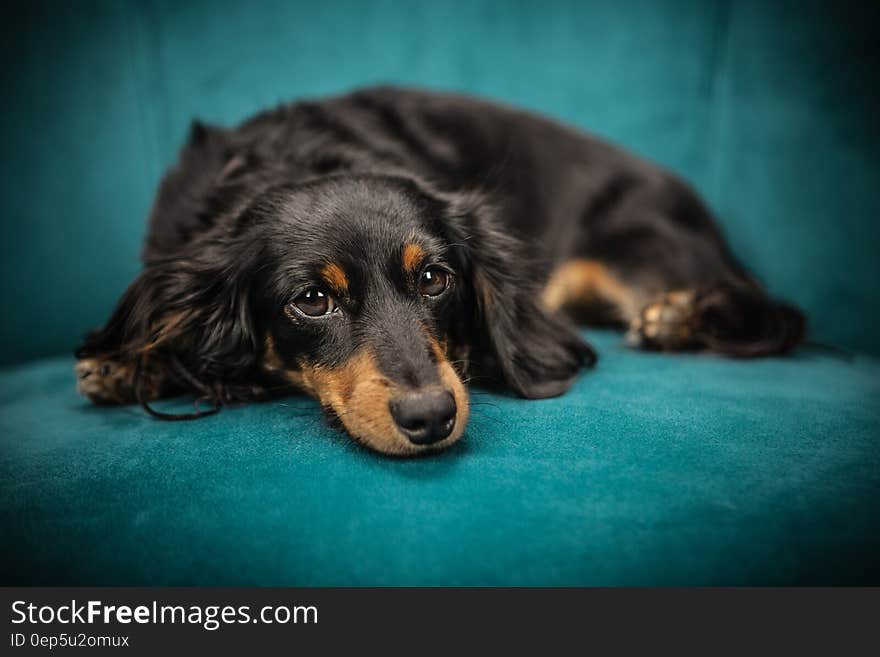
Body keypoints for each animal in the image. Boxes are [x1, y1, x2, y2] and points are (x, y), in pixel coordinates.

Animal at [75, 86, 804, 456]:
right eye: (311, 299)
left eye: (434, 279)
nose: (430, 417)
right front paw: (126, 362)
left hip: (638, 247)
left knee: (774, 315)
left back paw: (678, 316)